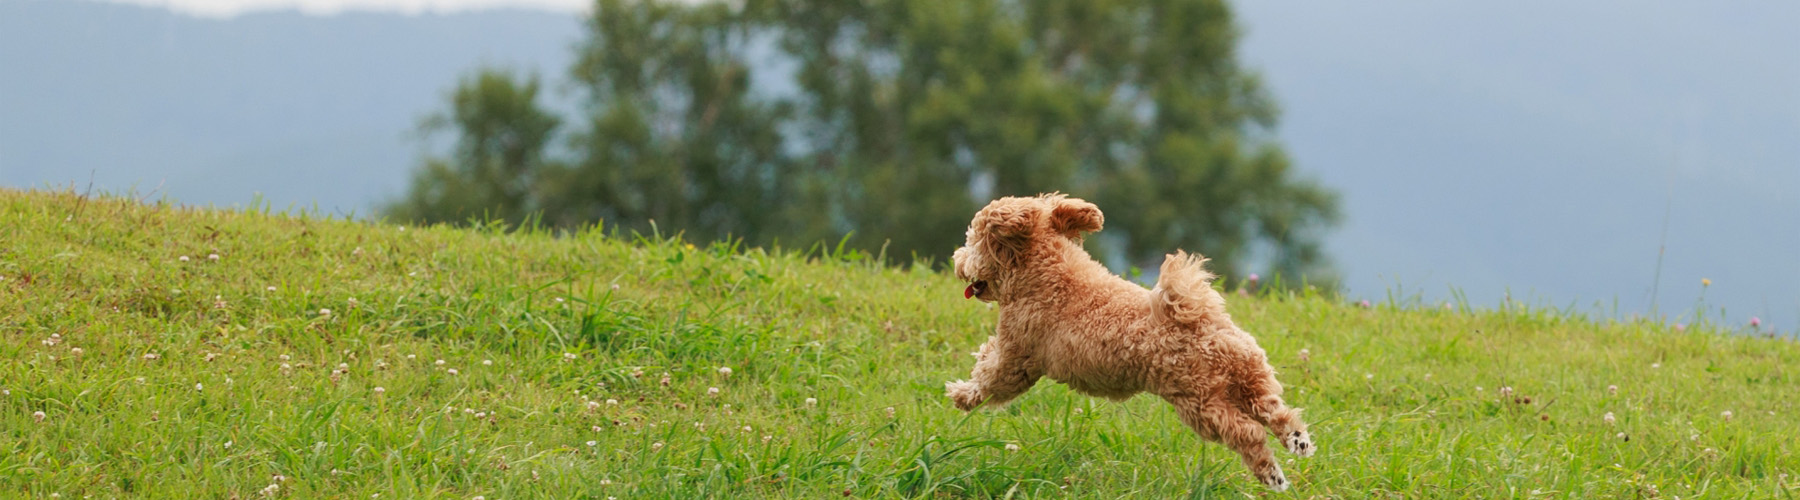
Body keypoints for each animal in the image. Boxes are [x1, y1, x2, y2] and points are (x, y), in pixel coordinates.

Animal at [950, 193, 1317, 489]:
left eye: (972, 241)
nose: (956, 260)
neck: (1047, 269)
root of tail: (1200, 322)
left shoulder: (1018, 357)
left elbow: (990, 379)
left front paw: (961, 394)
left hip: (1201, 404)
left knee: (1248, 433)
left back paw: (1272, 475)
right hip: (1250, 374)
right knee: (1274, 411)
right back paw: (1298, 441)